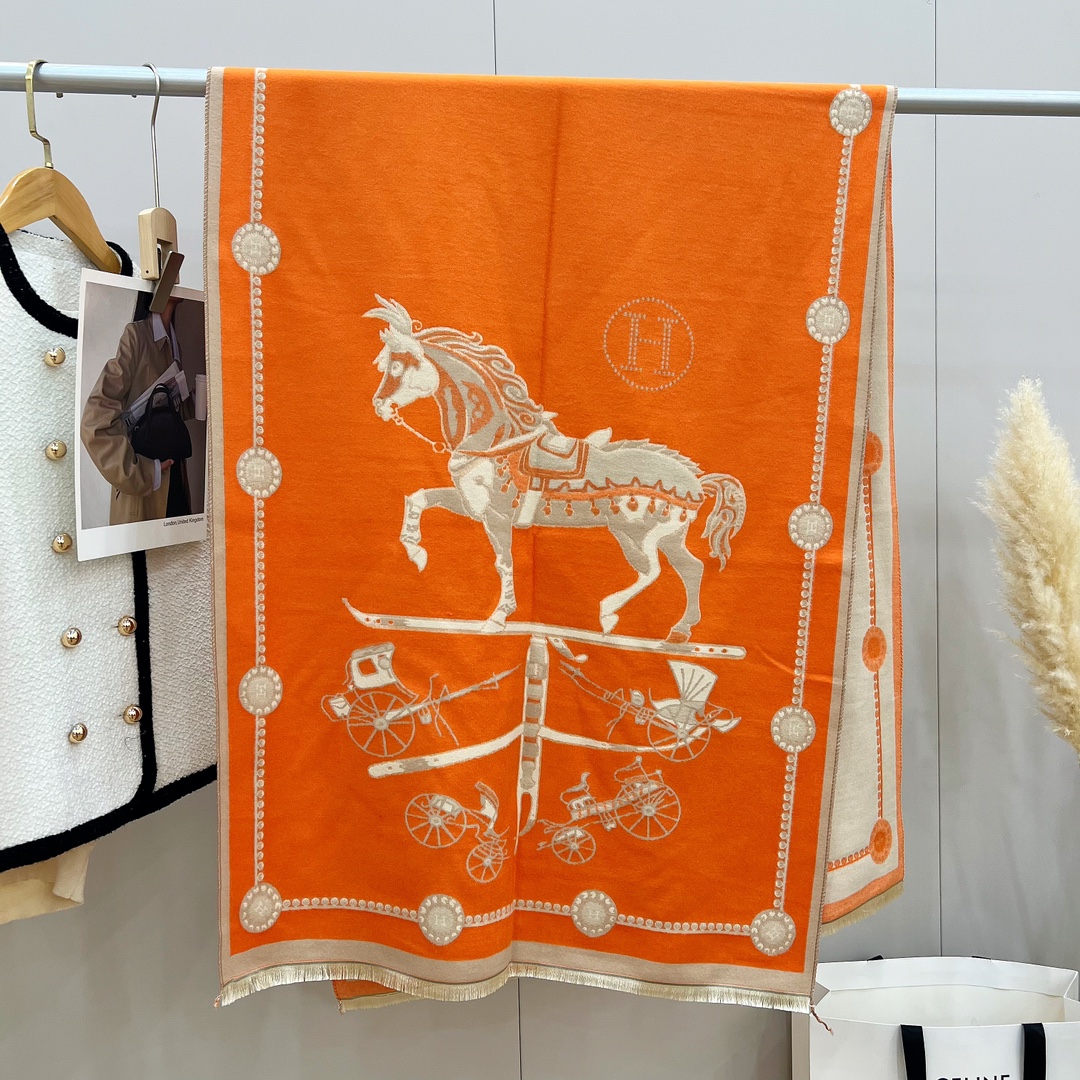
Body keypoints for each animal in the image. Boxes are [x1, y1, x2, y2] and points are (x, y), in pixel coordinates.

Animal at [365, 295, 745, 644]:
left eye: (397, 367)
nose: (379, 405)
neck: (496, 437)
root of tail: (695, 483)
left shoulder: (496, 516)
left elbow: (503, 562)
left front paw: (498, 618)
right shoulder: (472, 506)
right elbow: (418, 497)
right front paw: (416, 552)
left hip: (640, 533)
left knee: (652, 571)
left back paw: (609, 614)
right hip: (659, 536)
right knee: (691, 568)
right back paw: (679, 632)